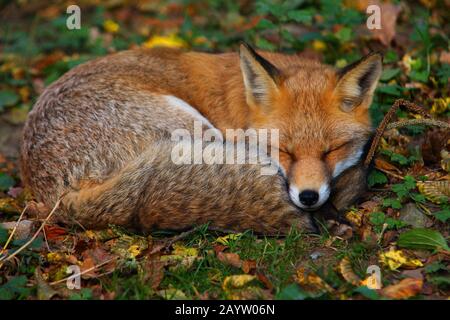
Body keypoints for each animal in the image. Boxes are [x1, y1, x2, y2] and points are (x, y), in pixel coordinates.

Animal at [19, 42, 382, 234]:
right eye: (284, 151)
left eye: (332, 150)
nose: (308, 197)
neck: (240, 106)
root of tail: (58, 196)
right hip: (191, 129)